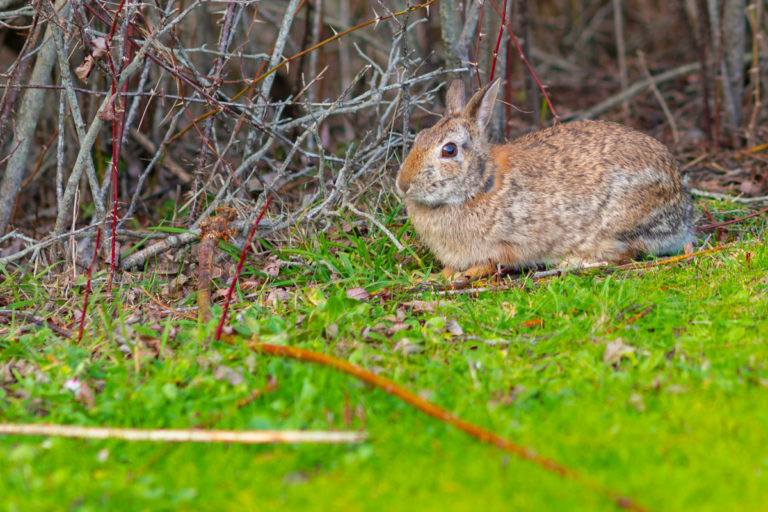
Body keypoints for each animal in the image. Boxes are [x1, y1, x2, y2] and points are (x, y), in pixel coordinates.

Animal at [396, 79, 696, 280]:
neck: (481, 184)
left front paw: (462, 276)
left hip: (620, 223)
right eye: (419, 137)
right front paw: (435, 275)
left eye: (449, 150)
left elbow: (492, 262)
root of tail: (684, 214)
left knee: (625, 254)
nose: (402, 184)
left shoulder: (509, 246)